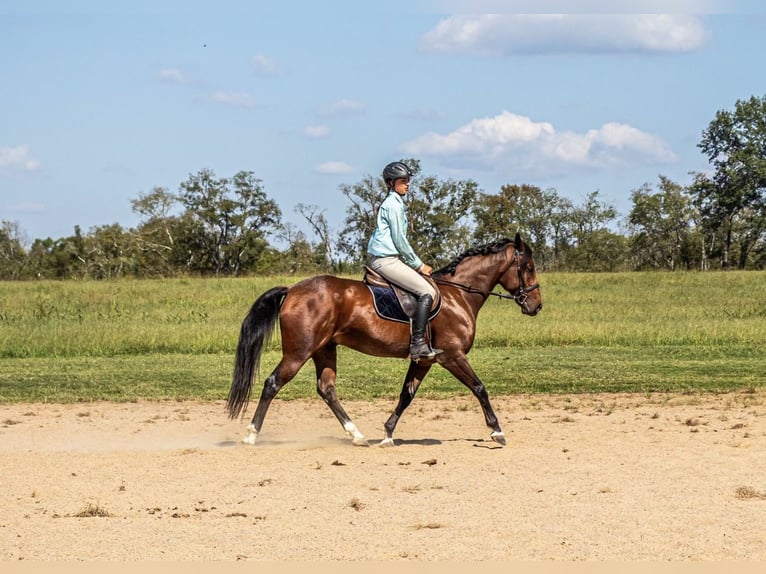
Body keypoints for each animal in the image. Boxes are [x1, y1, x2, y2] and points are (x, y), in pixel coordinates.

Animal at [225, 232, 544, 448]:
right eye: (528, 267)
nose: (536, 306)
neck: (459, 294)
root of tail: (292, 290)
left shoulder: (424, 360)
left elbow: (407, 395)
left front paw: (388, 433)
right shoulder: (452, 355)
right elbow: (480, 388)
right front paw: (497, 431)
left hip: (324, 349)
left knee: (326, 389)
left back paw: (357, 435)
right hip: (298, 352)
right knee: (273, 383)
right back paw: (251, 435)